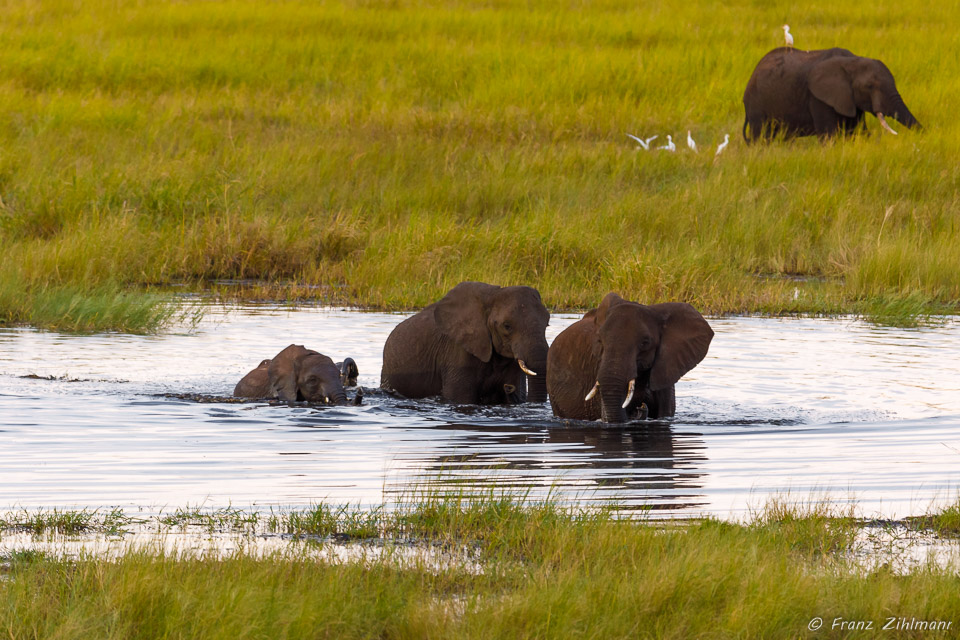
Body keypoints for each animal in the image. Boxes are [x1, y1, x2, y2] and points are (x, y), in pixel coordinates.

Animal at [380, 282, 548, 404]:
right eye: (507, 326)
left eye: (547, 323)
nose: (508, 387)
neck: (493, 295)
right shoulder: (457, 351)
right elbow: (461, 398)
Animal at [744, 47, 924, 141]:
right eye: (869, 86)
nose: (925, 135)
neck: (852, 61)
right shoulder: (818, 97)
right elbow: (829, 136)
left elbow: (858, 131)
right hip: (756, 105)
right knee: (761, 138)